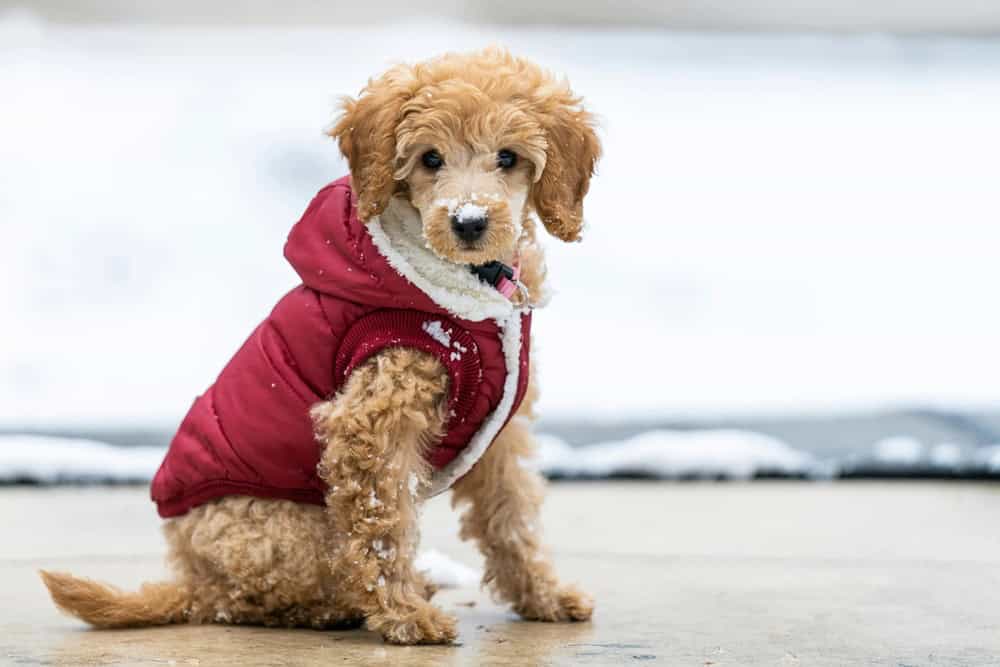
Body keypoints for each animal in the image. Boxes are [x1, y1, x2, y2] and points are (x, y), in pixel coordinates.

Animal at [41, 48, 600, 648]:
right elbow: (383, 526)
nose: (468, 221)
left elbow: (511, 516)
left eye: (508, 157)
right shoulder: (373, 421)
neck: (465, 291)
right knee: (268, 596)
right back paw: (351, 605)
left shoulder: (499, 434)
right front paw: (406, 618)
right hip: (286, 527)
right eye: (430, 158)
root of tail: (193, 579)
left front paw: (545, 597)